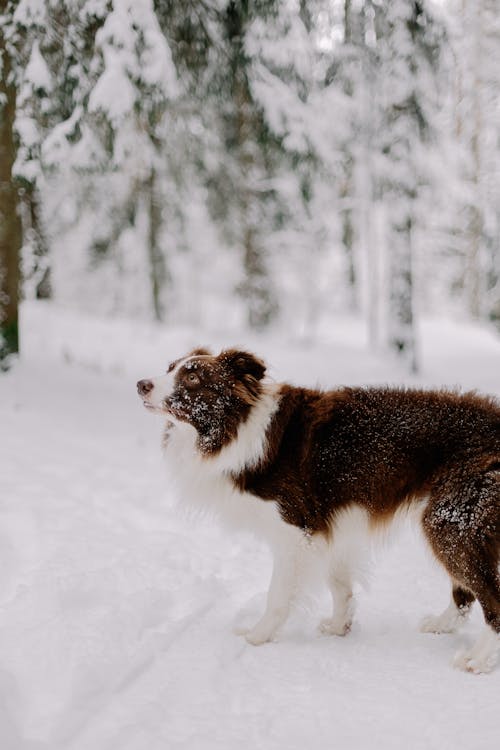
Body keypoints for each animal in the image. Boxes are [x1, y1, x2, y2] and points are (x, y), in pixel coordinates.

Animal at [137, 350, 500, 672]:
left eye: (194, 377)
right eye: (170, 367)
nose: (141, 384)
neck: (237, 426)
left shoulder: (293, 530)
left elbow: (278, 595)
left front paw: (258, 637)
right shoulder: (329, 526)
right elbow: (340, 585)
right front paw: (340, 627)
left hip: (450, 521)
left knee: (489, 598)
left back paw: (477, 660)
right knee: (464, 590)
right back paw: (442, 624)